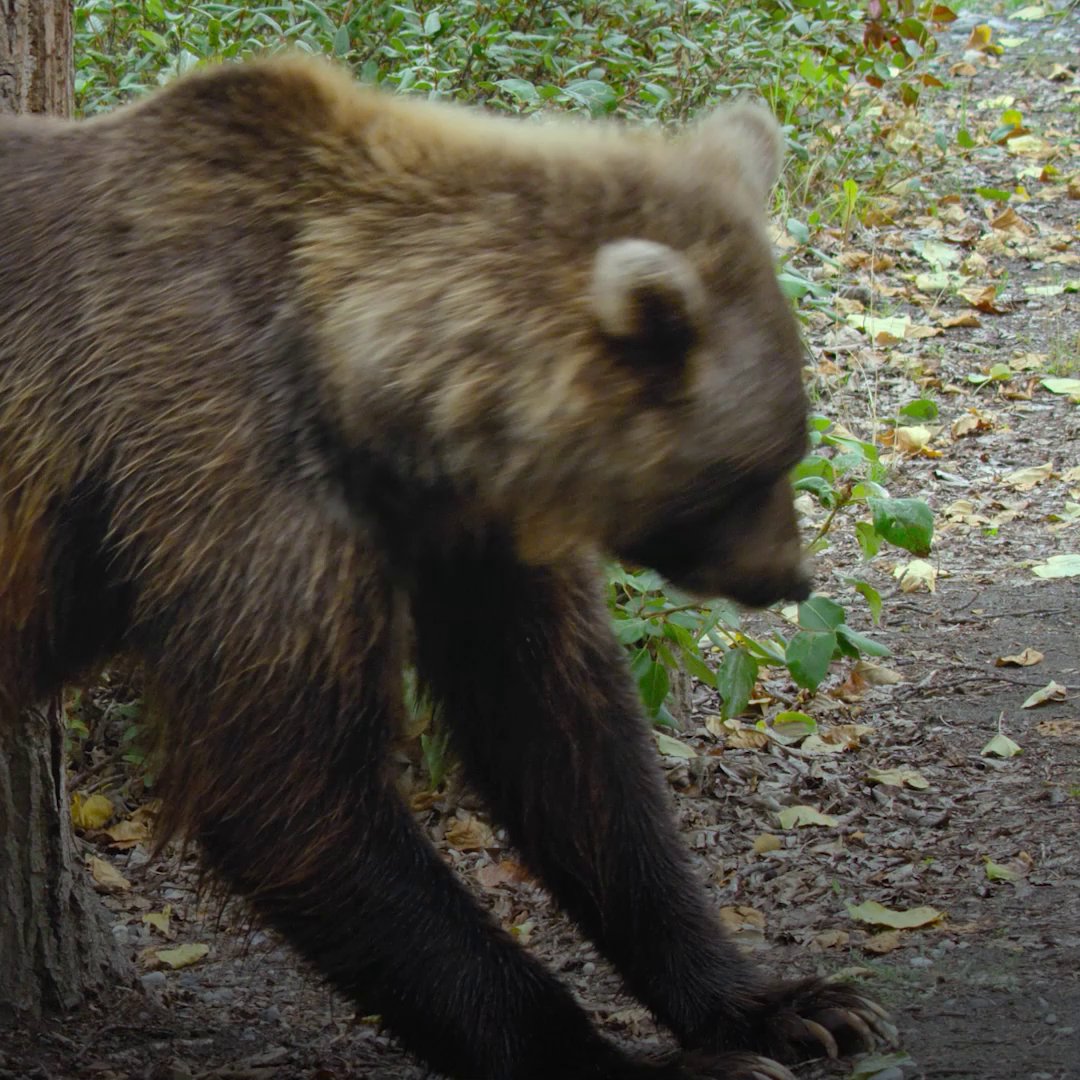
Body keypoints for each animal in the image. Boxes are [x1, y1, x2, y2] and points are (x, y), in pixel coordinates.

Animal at [0, 57, 892, 1079]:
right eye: (755, 467)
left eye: (792, 439)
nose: (790, 577)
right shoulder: (224, 467)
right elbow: (286, 780)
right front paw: (641, 1060)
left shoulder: (466, 538)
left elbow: (566, 742)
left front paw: (790, 1007)